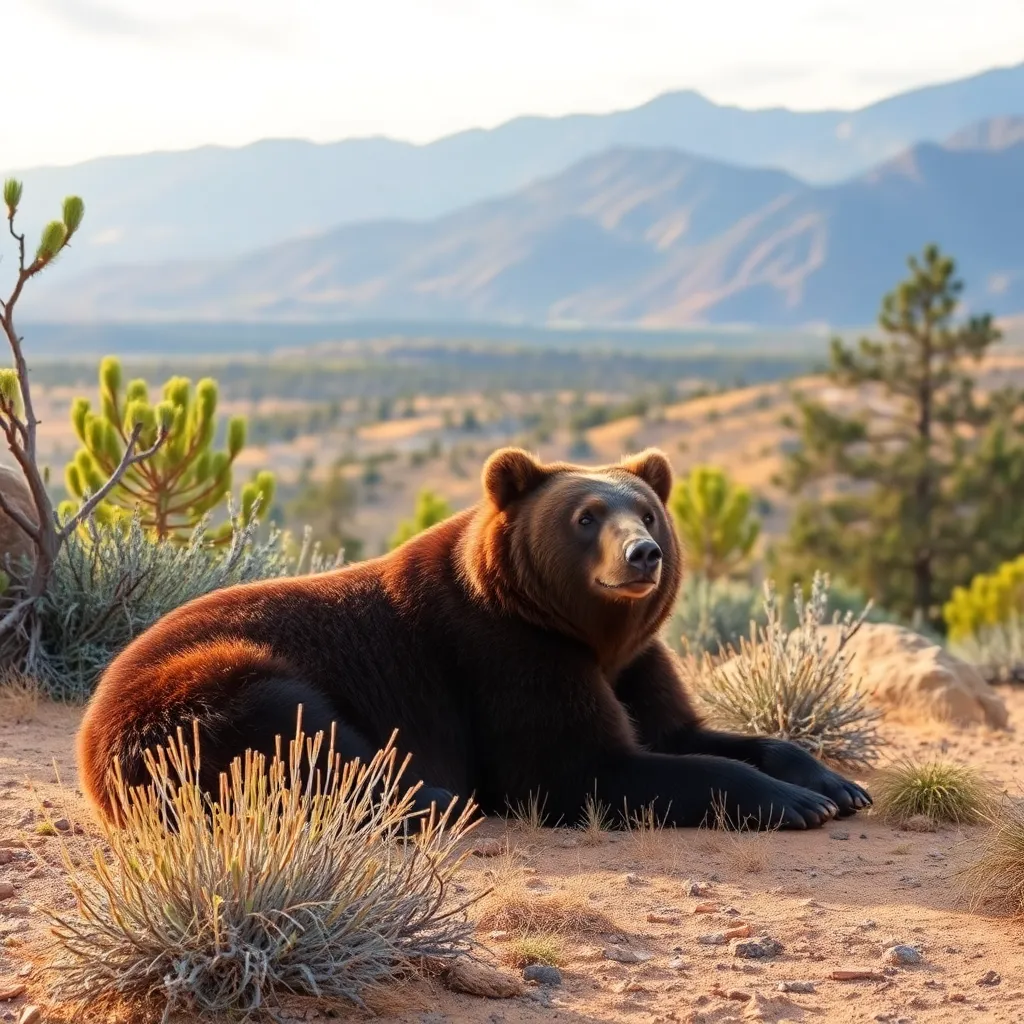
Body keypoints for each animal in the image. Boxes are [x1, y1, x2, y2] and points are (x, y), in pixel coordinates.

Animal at [77, 446, 871, 831]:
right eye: (586, 515)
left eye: (646, 509)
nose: (642, 554)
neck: (584, 631)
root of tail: (91, 721)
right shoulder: (506, 658)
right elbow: (580, 767)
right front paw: (791, 803)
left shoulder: (635, 663)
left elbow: (684, 732)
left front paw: (833, 783)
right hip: (207, 687)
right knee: (306, 737)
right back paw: (439, 797)